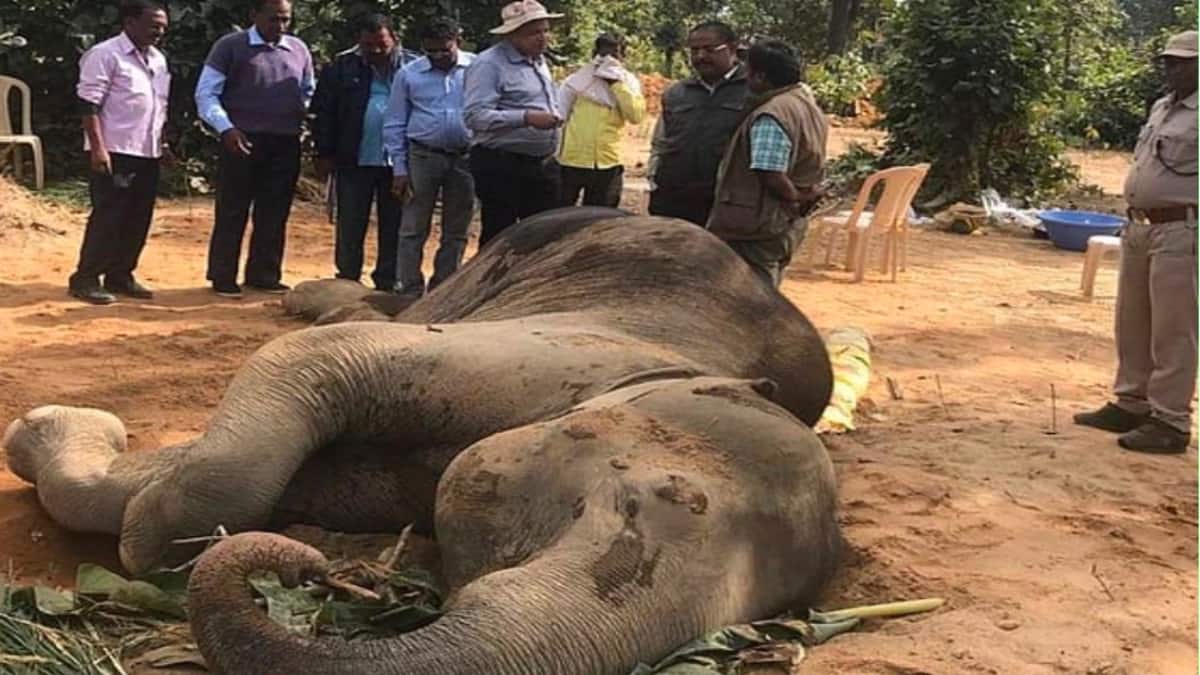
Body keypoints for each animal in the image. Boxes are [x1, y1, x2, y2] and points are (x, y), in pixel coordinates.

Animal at [3, 207, 841, 675]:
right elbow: (320, 361)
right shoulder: (571, 351)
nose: (313, 569)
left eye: (776, 608)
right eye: (629, 501)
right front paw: (142, 530)